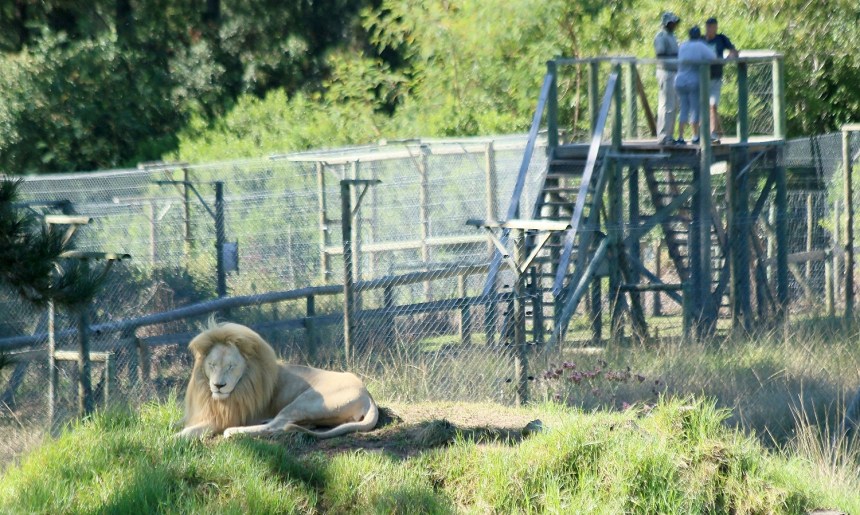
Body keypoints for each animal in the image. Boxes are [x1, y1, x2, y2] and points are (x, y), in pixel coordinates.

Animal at [175, 321, 378, 439]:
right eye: (212, 365)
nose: (218, 385)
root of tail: (368, 395)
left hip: (306, 401)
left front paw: (174, 439)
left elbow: (191, 430)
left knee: (277, 426)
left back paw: (234, 432)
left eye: (231, 366)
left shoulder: (223, 418)